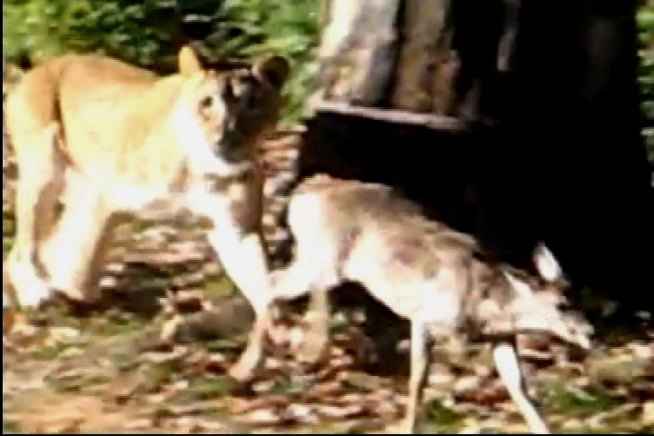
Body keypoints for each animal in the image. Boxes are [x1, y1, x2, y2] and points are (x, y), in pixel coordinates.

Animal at [3, 45, 289, 380]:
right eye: (206, 103)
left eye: (253, 104)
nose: (224, 139)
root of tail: (44, 65)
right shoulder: (110, 190)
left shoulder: (235, 230)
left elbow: (265, 291)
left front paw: (257, 356)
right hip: (44, 165)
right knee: (23, 248)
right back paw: (35, 293)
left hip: (86, 199)